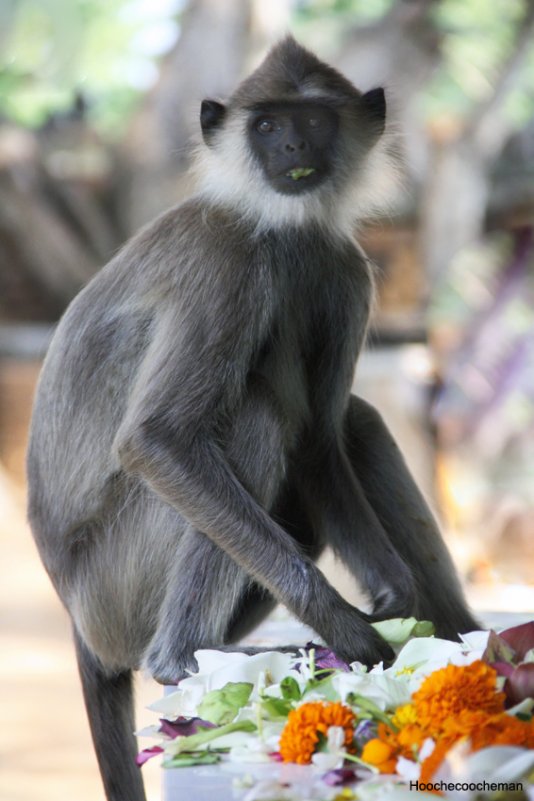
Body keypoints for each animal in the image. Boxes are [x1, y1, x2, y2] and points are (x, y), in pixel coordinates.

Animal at [25, 39, 480, 801]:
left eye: (313, 121)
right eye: (267, 125)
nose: (293, 145)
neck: (278, 225)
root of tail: (79, 623)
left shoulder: (345, 268)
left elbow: (324, 441)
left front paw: (397, 599)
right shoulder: (227, 259)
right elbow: (157, 439)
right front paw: (347, 629)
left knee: (352, 420)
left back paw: (463, 639)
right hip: (115, 587)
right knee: (253, 421)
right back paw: (183, 658)